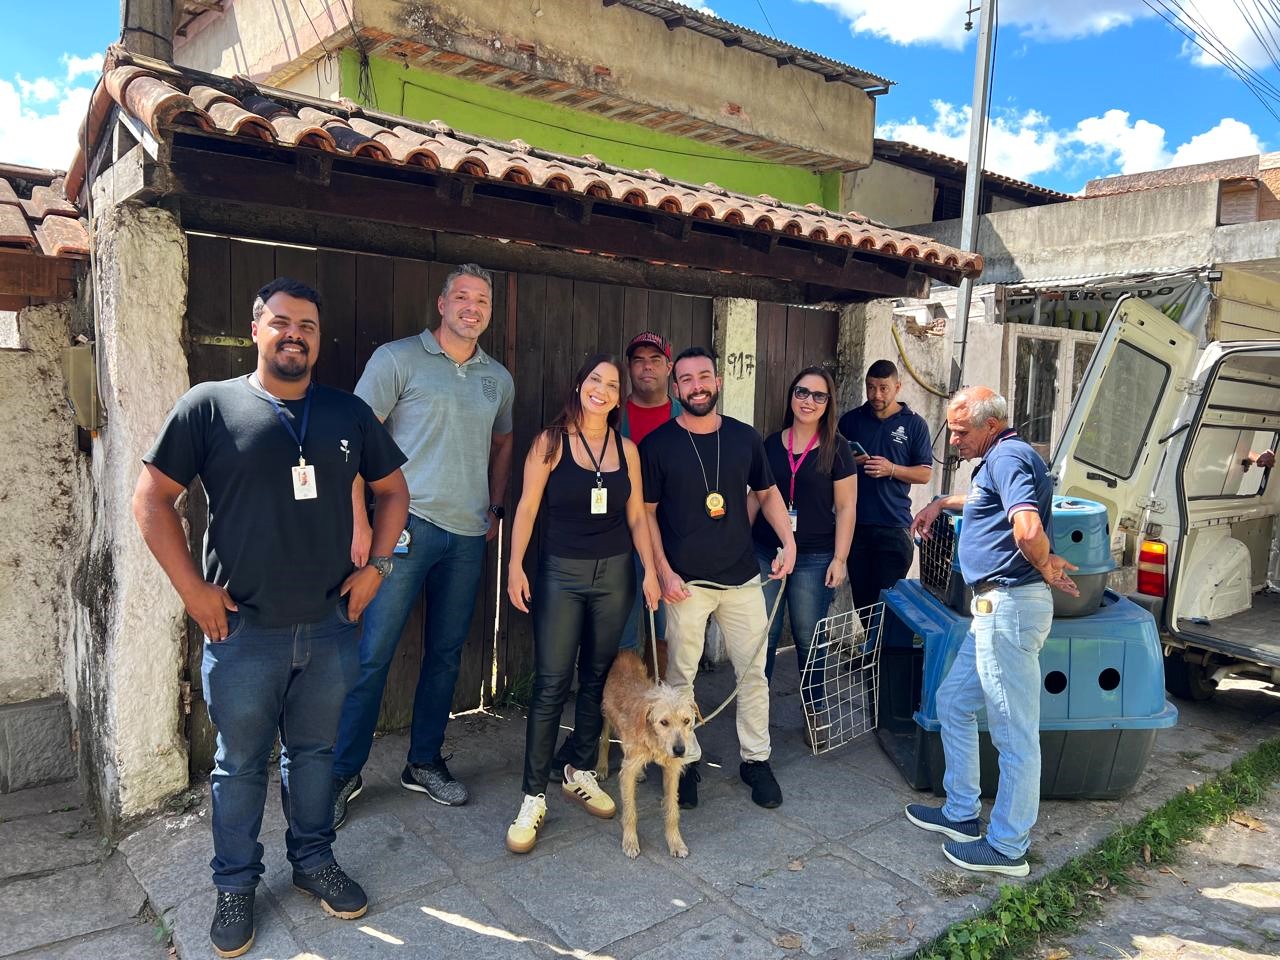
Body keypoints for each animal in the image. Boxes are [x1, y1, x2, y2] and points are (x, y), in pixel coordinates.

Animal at [601, 650, 701, 860]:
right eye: (664, 722)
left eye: (686, 720)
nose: (680, 750)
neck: (654, 739)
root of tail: (625, 652)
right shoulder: (627, 772)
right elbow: (630, 811)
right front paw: (630, 841)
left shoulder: (671, 770)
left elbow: (672, 810)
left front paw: (676, 842)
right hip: (605, 714)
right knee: (604, 740)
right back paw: (601, 767)